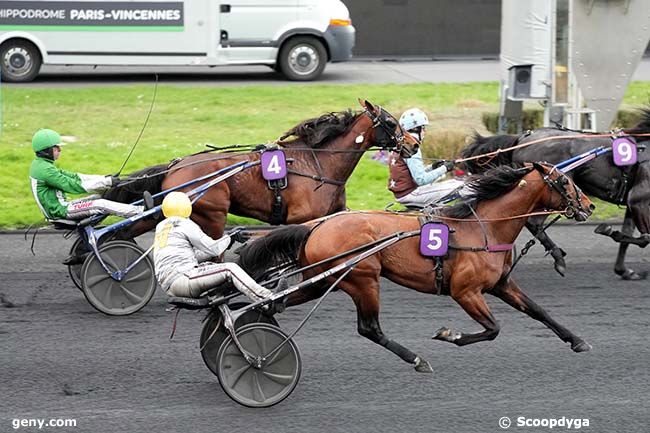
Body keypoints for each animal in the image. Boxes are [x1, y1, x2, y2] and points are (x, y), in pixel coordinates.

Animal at [101, 99, 416, 238]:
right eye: (391, 123)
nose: (413, 144)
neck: (321, 163)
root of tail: (174, 167)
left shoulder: (336, 212)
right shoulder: (301, 218)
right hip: (211, 214)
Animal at [237, 162, 592, 372]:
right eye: (563, 181)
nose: (588, 206)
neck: (484, 228)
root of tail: (318, 225)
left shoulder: (501, 284)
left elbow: (538, 311)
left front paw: (577, 340)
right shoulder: (465, 291)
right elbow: (493, 329)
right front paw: (450, 334)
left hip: (323, 280)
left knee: (275, 302)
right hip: (363, 278)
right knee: (369, 328)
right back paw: (417, 359)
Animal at [458, 108, 648, 280]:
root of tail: (521, 138)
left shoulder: (633, 202)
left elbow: (629, 233)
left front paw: (624, 270)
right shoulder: (639, 199)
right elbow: (645, 238)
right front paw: (608, 231)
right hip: (549, 194)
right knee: (533, 222)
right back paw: (558, 258)